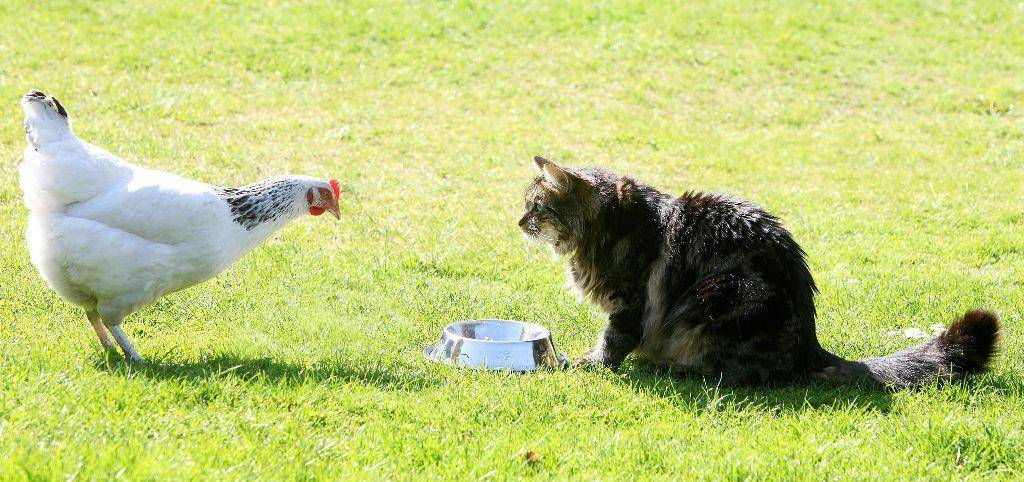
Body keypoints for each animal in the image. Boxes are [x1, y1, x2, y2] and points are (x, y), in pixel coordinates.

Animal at [520, 156, 999, 386]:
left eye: (537, 206)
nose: (519, 221)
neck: (609, 225)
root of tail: (810, 345)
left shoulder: (631, 303)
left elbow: (612, 341)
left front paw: (589, 364)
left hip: (718, 293)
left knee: (744, 374)